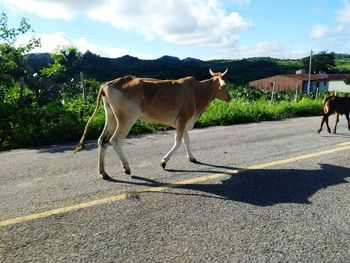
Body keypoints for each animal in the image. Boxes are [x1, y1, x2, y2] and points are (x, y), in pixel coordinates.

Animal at [75, 68, 231, 179]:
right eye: (225, 86)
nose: (230, 98)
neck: (197, 93)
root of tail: (107, 83)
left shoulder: (185, 122)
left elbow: (186, 141)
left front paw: (192, 158)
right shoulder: (182, 120)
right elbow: (178, 142)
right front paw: (164, 162)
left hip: (111, 116)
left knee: (102, 140)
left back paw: (103, 172)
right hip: (126, 118)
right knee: (115, 140)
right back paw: (126, 167)